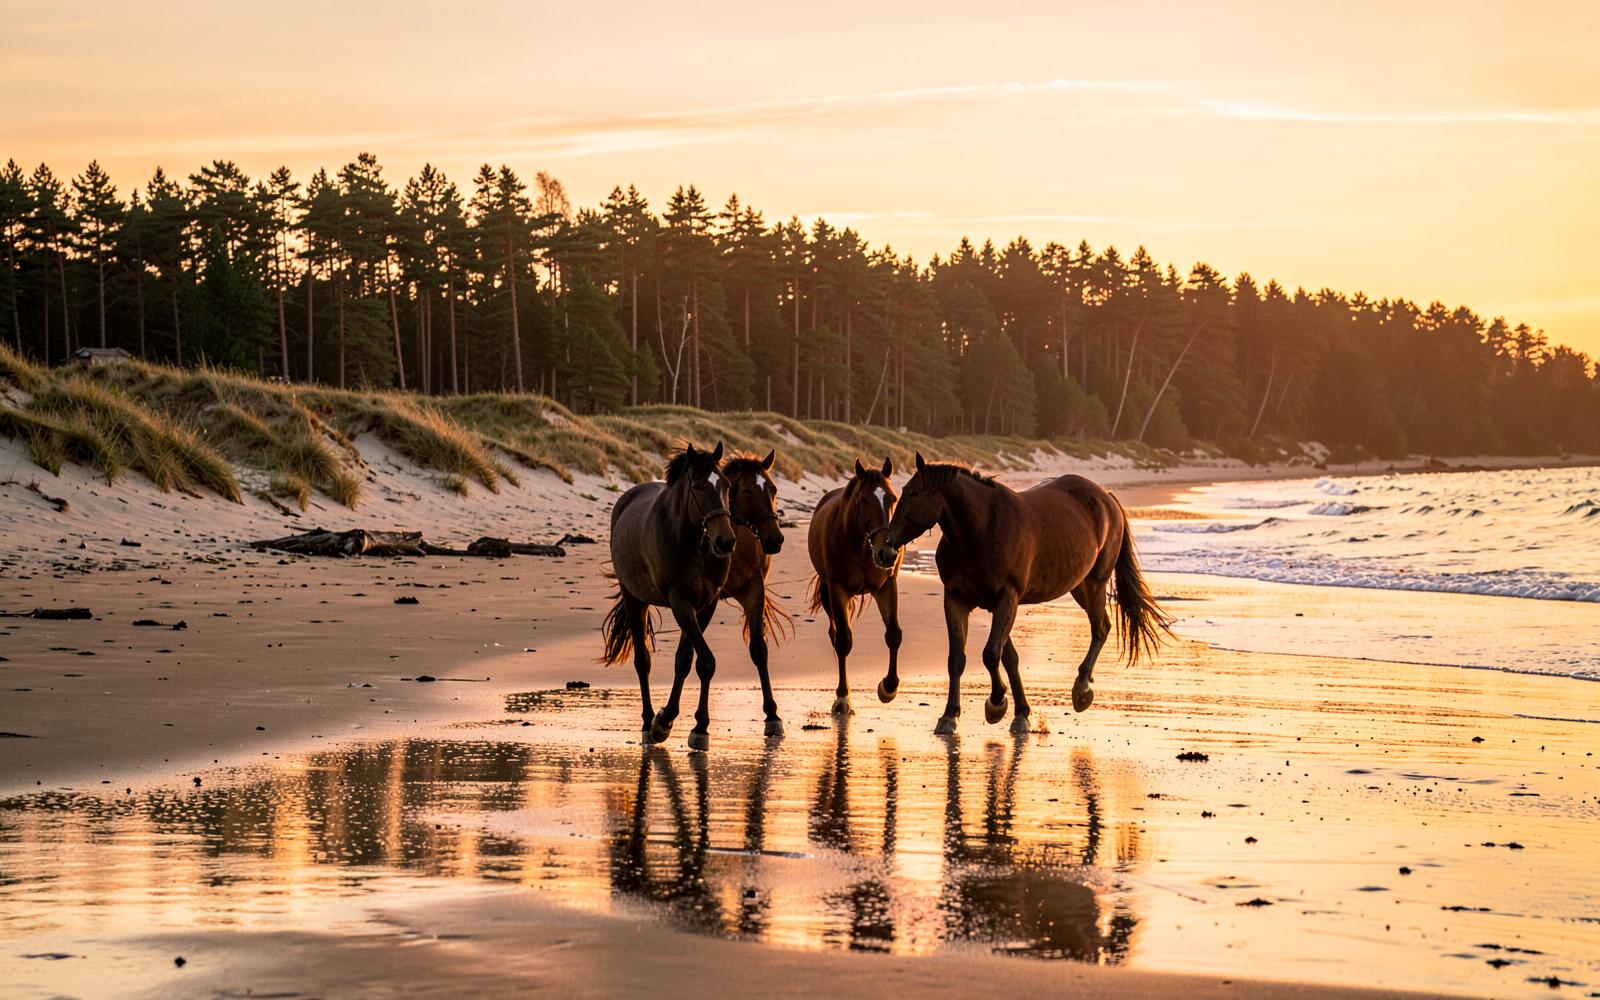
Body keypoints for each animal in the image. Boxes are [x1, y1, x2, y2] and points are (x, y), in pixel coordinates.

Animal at [600, 442, 738, 750]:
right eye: (698, 486)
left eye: (725, 484)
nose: (725, 541)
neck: (690, 542)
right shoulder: (681, 604)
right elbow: (705, 660)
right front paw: (662, 721)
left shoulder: (705, 606)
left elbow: (688, 661)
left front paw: (695, 726)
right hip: (634, 599)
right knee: (642, 661)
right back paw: (646, 722)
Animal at [716, 450, 789, 737]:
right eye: (747, 491)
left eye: (773, 489)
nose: (775, 540)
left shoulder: (754, 591)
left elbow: (759, 649)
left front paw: (772, 713)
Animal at [806, 457, 903, 717]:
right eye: (864, 500)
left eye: (893, 498)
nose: (887, 553)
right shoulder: (838, 589)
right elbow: (843, 642)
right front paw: (842, 699)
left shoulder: (886, 587)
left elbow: (894, 635)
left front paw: (888, 688)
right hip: (829, 594)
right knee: (835, 635)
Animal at [883, 454, 1170, 734]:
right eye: (903, 492)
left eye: (913, 493)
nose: (886, 548)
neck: (982, 529)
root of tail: (1106, 497)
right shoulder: (957, 600)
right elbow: (967, 658)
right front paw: (953, 715)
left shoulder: (1007, 599)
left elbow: (991, 654)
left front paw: (997, 703)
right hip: (1079, 586)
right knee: (1103, 626)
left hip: (1095, 584)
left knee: (1100, 629)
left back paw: (1081, 688)